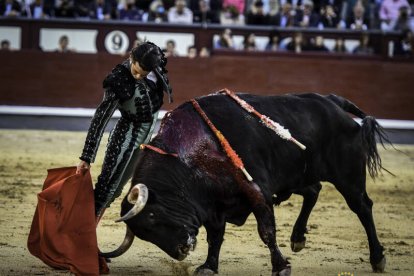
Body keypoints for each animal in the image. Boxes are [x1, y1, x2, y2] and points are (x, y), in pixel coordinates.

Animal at [102, 92, 390, 274]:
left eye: (152, 217)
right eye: (144, 234)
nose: (182, 250)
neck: (193, 154)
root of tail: (333, 102)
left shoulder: (257, 189)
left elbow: (266, 231)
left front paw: (281, 267)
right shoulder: (213, 205)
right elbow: (215, 237)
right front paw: (208, 266)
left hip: (348, 177)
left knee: (362, 207)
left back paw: (377, 258)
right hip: (296, 175)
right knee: (313, 190)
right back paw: (298, 238)